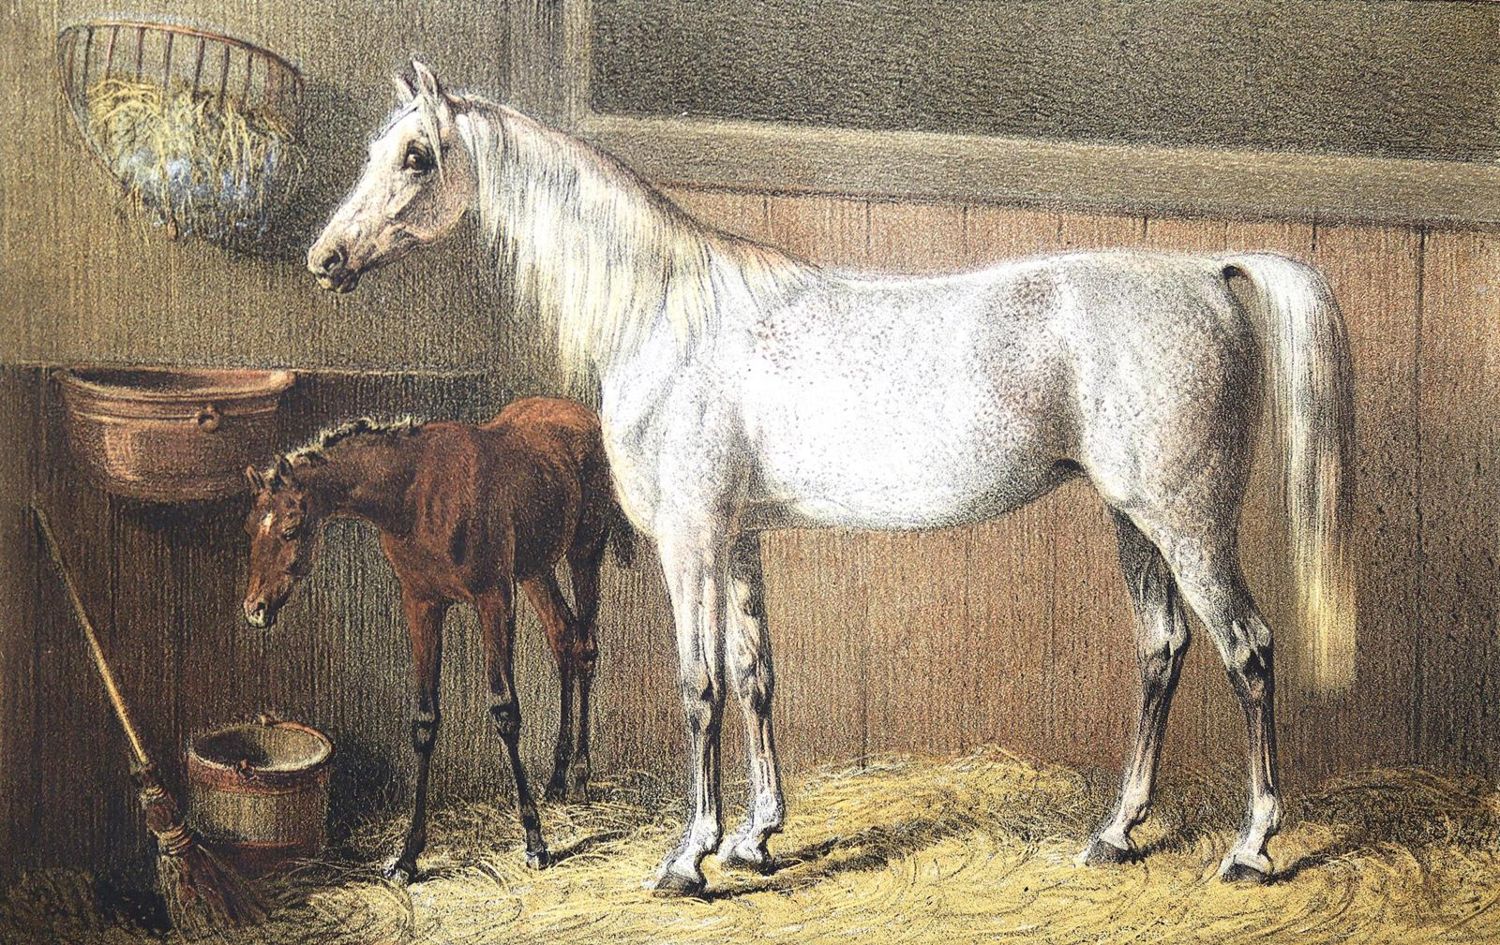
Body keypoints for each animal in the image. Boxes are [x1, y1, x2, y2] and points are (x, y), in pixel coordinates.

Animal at [240, 396, 634, 880]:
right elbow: (425, 721)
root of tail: (582, 415)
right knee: (562, 640)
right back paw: (558, 778)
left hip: (584, 552)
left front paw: (535, 840)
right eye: (248, 528)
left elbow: (505, 711)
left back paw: (579, 774)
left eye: (290, 529)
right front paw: (408, 856)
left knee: (585, 648)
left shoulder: (493, 599)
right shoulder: (423, 605)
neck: (417, 496)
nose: (255, 609)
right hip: (535, 570)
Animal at [305, 60, 1355, 896]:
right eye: (376, 147)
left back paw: (1252, 846)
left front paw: (689, 856)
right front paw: (756, 838)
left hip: (1187, 522)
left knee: (1249, 651)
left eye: (417, 156)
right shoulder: (738, 538)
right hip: (1132, 519)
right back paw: (1115, 831)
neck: (669, 316)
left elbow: (698, 686)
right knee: (1163, 648)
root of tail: (1209, 272)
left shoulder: (692, 539)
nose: (326, 257)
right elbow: (755, 674)